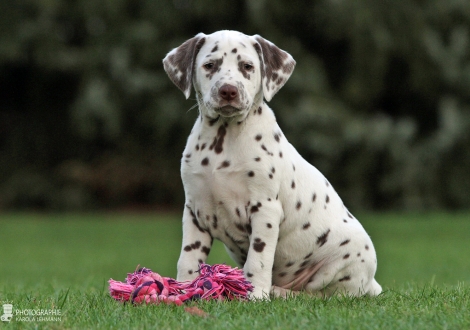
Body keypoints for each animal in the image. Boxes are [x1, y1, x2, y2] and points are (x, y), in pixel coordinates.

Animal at [162, 30, 382, 300]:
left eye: (247, 66)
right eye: (209, 65)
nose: (228, 91)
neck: (223, 140)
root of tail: (372, 284)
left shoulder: (265, 209)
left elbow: (258, 259)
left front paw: (255, 294)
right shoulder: (195, 210)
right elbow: (189, 258)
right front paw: (183, 288)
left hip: (347, 259)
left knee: (322, 295)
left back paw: (278, 291)